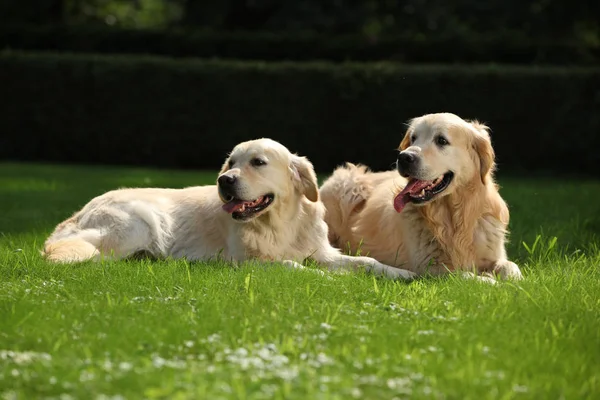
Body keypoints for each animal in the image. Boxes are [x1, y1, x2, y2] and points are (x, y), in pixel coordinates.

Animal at [42, 139, 414, 280]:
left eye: (258, 162)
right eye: (231, 162)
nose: (224, 180)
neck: (279, 223)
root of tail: (77, 214)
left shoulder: (322, 251)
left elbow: (366, 261)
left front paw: (401, 274)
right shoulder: (250, 262)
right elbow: (294, 266)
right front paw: (333, 280)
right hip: (140, 222)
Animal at [322, 113, 524, 282]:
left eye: (441, 140)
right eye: (413, 138)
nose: (404, 157)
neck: (454, 217)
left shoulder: (494, 255)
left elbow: (511, 267)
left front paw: (514, 282)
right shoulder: (429, 268)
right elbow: (464, 274)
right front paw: (490, 281)